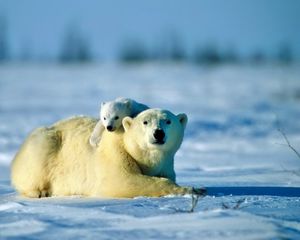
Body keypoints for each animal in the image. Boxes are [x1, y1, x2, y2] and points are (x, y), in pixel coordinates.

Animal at [11, 109, 204, 198]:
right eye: (145, 122)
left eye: (168, 121)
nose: (158, 133)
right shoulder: (115, 153)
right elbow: (123, 180)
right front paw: (195, 189)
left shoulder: (166, 164)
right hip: (45, 144)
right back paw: (40, 191)